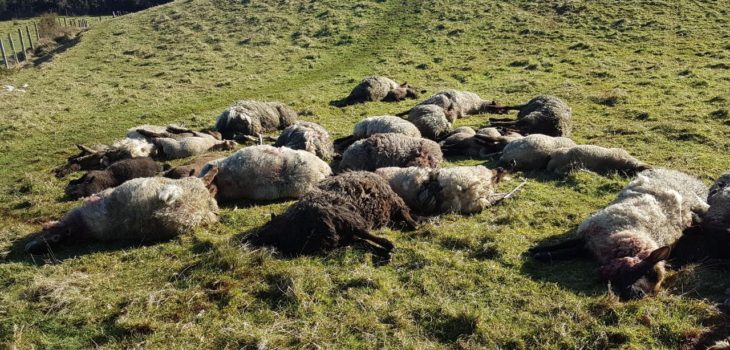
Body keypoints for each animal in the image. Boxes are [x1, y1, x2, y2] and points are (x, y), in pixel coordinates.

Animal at [245, 172, 416, 258]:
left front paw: (389, 245)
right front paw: (385, 248)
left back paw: (413, 224)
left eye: (267, 225)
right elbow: (364, 240)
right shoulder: (346, 233)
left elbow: (366, 235)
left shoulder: (347, 219)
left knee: (403, 210)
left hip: (392, 200)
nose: (249, 239)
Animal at [528, 168, 708, 300]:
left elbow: (569, 251)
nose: (639, 295)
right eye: (648, 272)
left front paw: (541, 255)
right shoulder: (590, 236)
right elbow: (566, 245)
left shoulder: (589, 246)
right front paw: (537, 251)